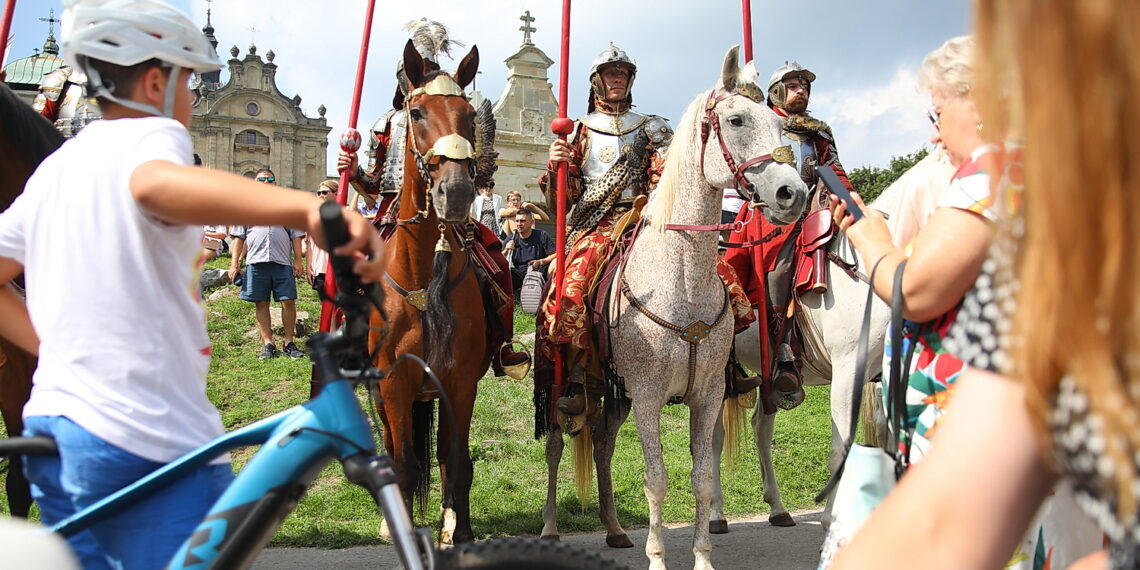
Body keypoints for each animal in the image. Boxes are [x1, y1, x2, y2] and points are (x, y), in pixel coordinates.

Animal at [611, 47, 807, 570]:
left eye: (781, 127)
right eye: (736, 120)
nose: (793, 194)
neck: (680, 281)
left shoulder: (707, 394)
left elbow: (701, 477)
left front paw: (702, 555)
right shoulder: (646, 397)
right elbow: (656, 481)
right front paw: (657, 556)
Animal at [711, 148, 953, 528]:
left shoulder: (883, 375)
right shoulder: (848, 371)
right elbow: (844, 446)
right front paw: (830, 516)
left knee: (761, 429)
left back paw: (778, 507)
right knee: (714, 439)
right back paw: (716, 514)